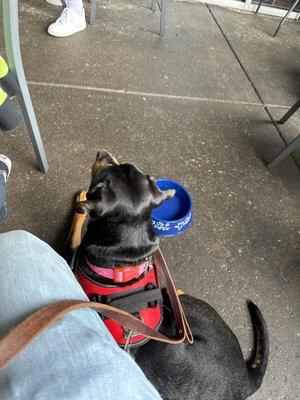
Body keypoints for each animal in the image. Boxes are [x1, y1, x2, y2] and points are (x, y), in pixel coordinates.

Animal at [67, 151, 268, 400]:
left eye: (100, 181)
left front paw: (80, 202)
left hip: (192, 308)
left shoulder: (72, 253)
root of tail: (246, 382)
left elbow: (75, 228)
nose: (103, 154)